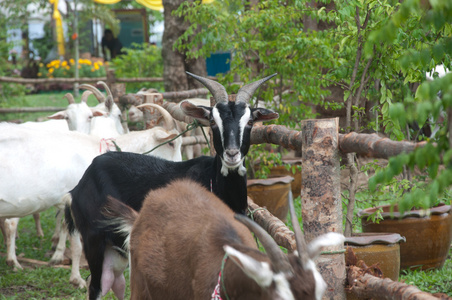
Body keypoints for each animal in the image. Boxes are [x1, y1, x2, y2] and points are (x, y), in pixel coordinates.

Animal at [66, 72, 278, 298]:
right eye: (212, 121)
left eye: (250, 121)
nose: (231, 154)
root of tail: (81, 183)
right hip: (94, 239)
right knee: (97, 285)